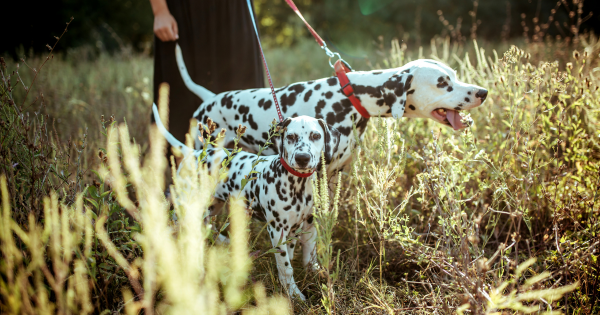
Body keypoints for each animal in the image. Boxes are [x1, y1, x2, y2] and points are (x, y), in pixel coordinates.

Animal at [152, 104, 340, 302]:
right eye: (291, 137)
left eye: (316, 136)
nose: (302, 158)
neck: (297, 184)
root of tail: (194, 154)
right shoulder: (277, 230)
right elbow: (286, 267)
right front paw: (294, 294)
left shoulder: (308, 223)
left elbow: (309, 254)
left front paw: (316, 273)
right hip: (185, 207)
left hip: (213, 204)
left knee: (208, 224)